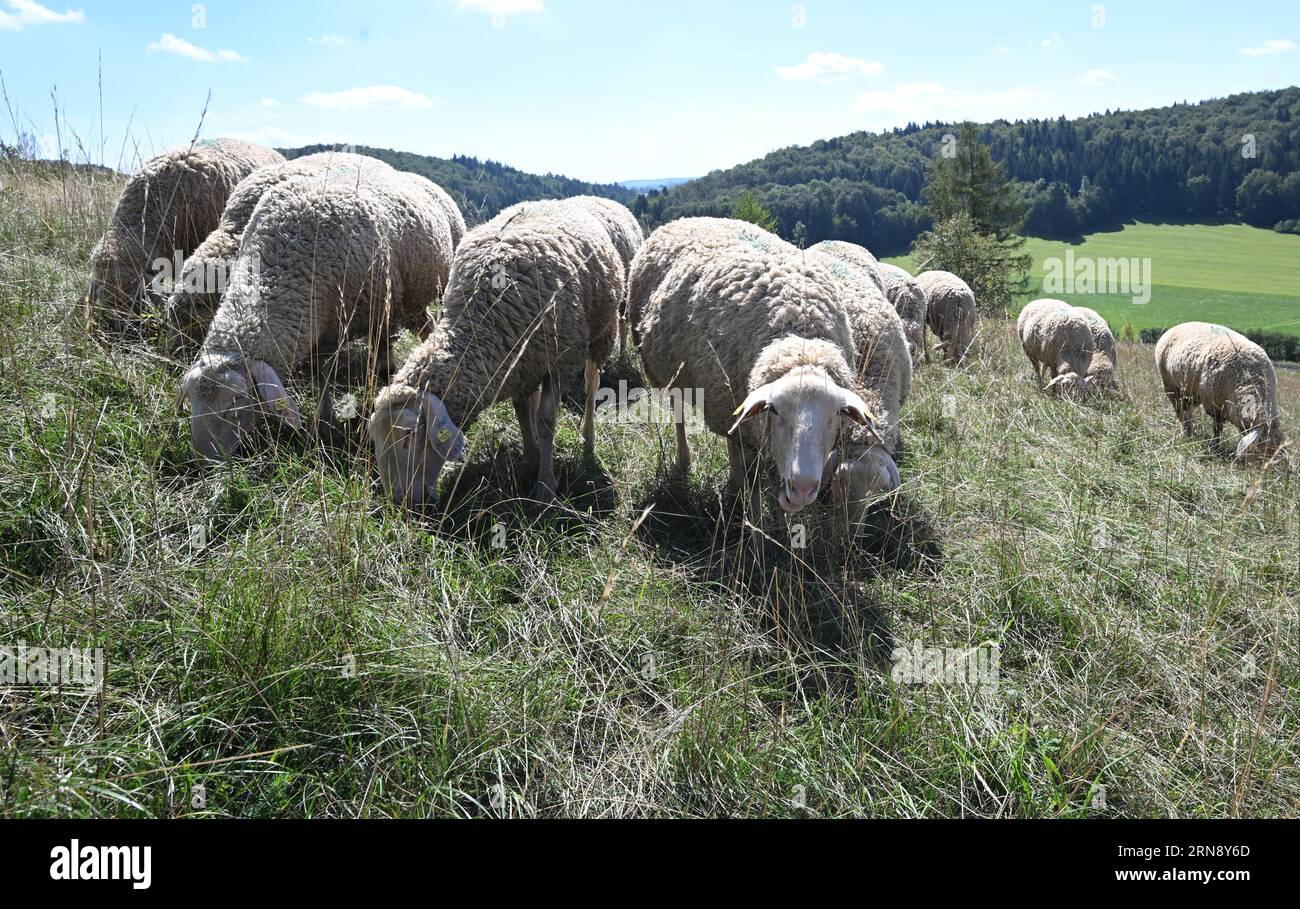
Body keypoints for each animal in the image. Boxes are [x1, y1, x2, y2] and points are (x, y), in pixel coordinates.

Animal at [371, 198, 624, 509]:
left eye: (408, 439)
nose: (399, 504)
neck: (481, 319)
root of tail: (554, 201)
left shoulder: (559, 362)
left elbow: (546, 422)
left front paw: (545, 487)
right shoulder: (519, 365)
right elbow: (522, 411)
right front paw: (531, 459)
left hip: (601, 332)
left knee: (591, 384)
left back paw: (588, 438)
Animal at [626, 217, 883, 535]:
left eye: (836, 414)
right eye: (775, 410)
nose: (802, 488)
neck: (799, 340)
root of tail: (685, 219)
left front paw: (783, 531)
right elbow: (755, 484)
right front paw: (757, 531)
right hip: (670, 374)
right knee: (679, 413)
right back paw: (685, 461)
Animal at [1159, 321, 1279, 462]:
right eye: (1260, 451)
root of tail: (1177, 326)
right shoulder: (1215, 406)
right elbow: (1217, 429)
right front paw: (1215, 448)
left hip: (1191, 393)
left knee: (1187, 411)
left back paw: (1189, 431)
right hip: (1170, 385)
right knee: (1180, 412)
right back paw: (1186, 434)